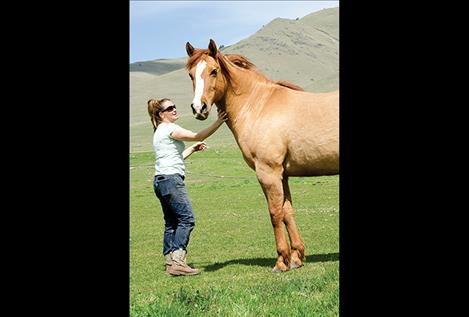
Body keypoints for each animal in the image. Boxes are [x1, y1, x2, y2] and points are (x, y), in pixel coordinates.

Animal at [183, 39, 336, 272]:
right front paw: (296, 257)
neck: (258, 105)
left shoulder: (268, 173)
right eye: (191, 75)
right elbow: (287, 212)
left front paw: (281, 261)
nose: (199, 108)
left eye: (214, 71)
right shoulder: (282, 176)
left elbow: (275, 213)